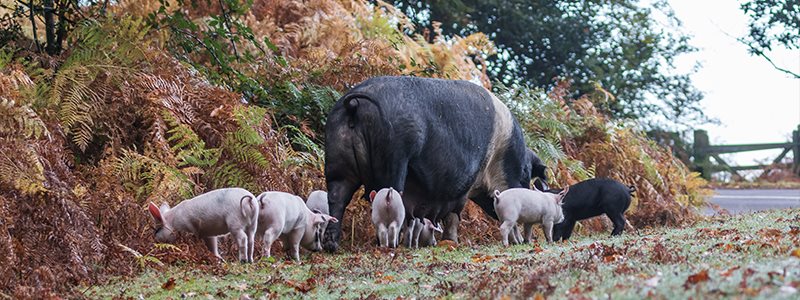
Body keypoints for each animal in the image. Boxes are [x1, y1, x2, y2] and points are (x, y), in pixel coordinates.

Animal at [322, 75, 548, 251]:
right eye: (526, 173)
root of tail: (354, 104)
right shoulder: (463, 185)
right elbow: (455, 214)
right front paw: (451, 242)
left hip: (337, 159)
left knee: (337, 198)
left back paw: (332, 245)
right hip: (393, 158)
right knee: (386, 199)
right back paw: (391, 244)